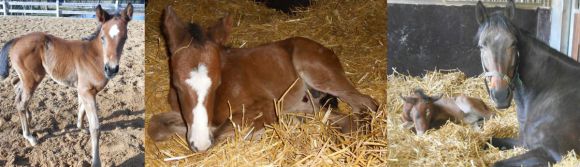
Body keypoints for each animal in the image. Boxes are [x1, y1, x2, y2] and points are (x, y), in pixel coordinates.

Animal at [476, 0, 580, 166]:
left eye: (513, 43)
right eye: (481, 46)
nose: (500, 95)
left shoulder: (550, 154)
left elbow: (497, 163)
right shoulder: (523, 142)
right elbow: (489, 140)